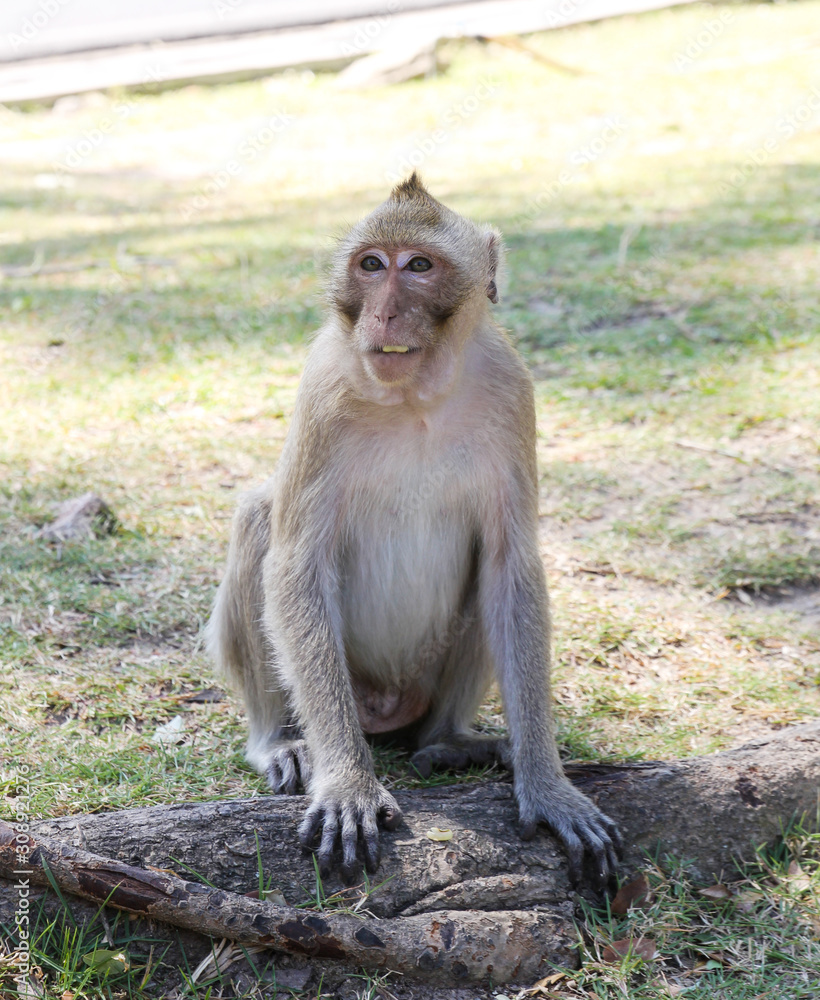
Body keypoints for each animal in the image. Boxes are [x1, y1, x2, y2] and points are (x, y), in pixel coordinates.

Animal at [206, 173, 620, 884]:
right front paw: (349, 784)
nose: (385, 314)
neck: (415, 397)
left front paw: (547, 784)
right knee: (260, 522)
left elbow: (511, 564)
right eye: (372, 266)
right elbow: (296, 564)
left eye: (419, 267)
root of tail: (385, 707)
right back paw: (281, 742)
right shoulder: (322, 386)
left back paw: (446, 743)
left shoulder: (512, 389)